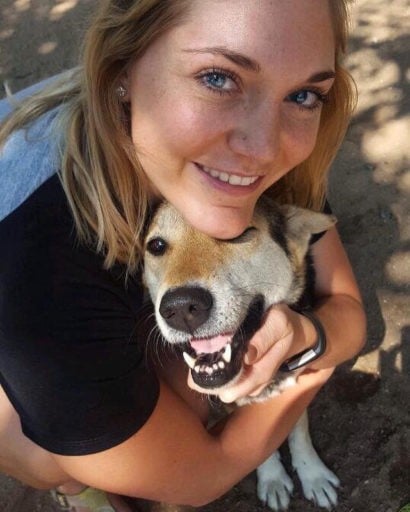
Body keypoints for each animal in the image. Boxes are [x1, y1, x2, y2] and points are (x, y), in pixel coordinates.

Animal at [143, 197, 340, 512]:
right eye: (157, 246)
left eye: (237, 235)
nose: (182, 307)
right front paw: (272, 478)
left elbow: (299, 427)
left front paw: (312, 474)